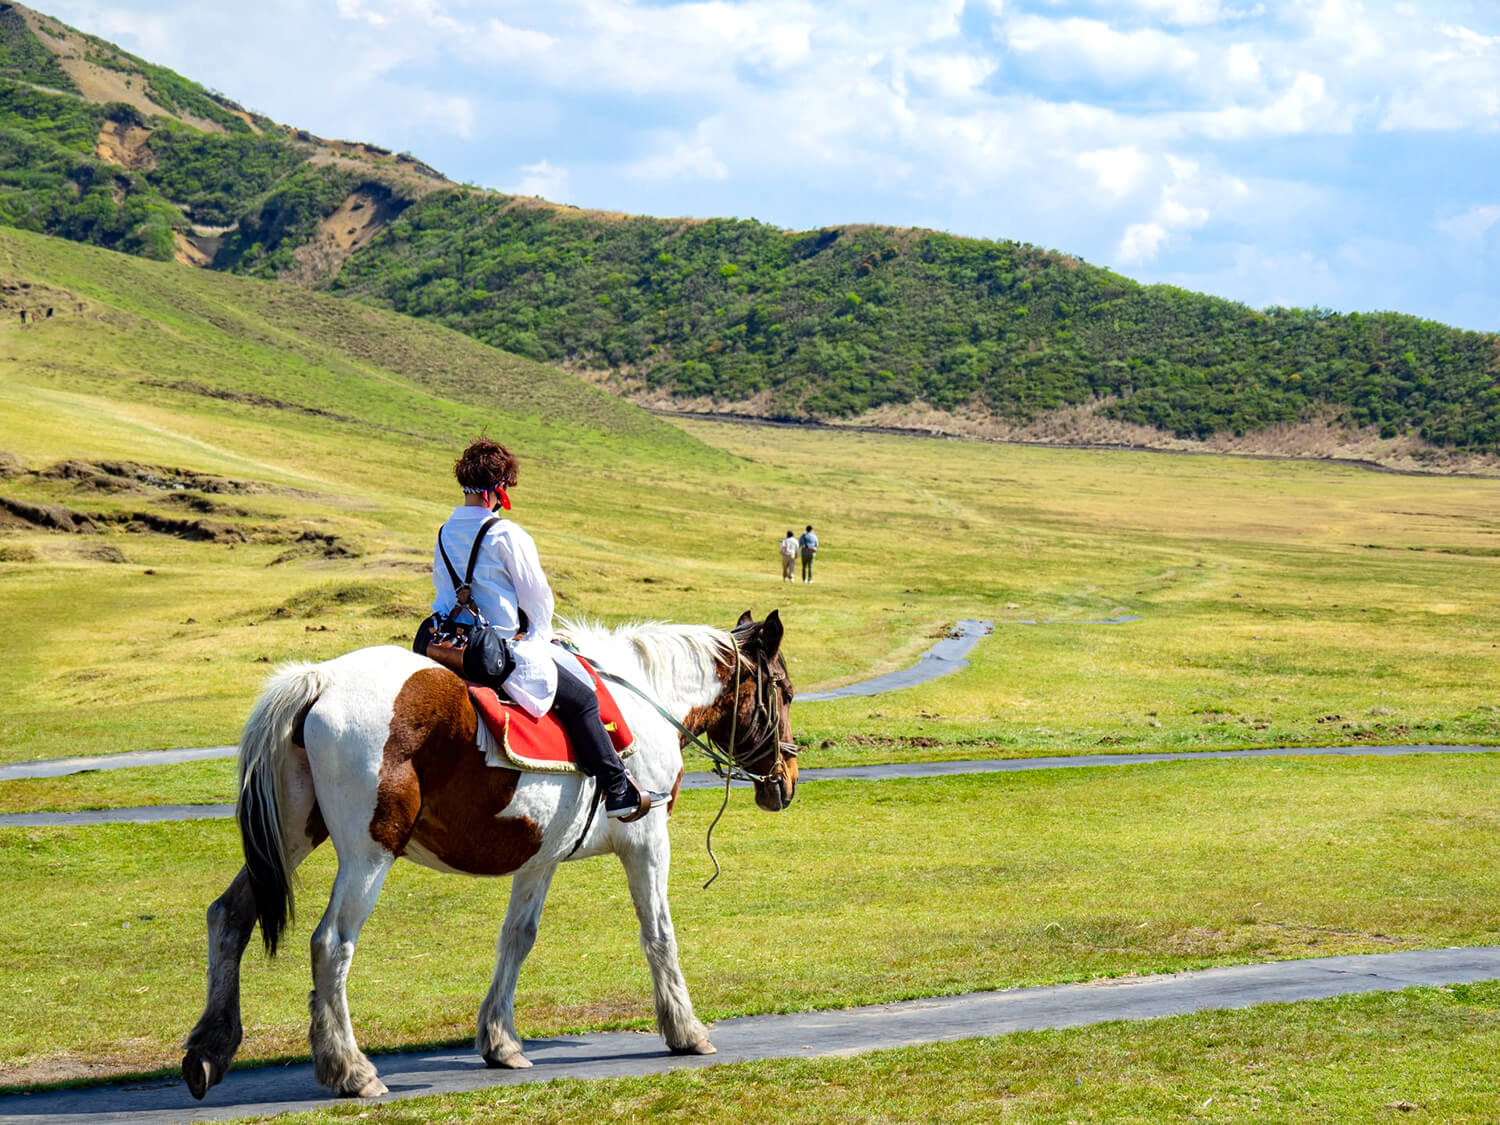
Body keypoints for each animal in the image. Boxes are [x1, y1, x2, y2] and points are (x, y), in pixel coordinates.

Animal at [181, 609, 796, 1100]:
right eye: (786, 692)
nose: (786, 780)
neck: (646, 698)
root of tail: (323, 677)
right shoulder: (646, 842)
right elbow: (659, 934)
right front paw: (685, 1030)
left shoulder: (540, 858)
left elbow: (517, 939)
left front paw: (500, 1041)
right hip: (368, 853)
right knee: (331, 944)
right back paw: (349, 1069)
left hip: (290, 836)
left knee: (229, 915)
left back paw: (209, 1050)